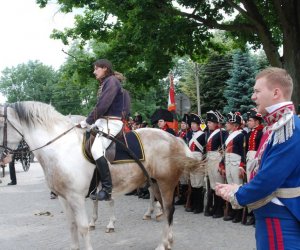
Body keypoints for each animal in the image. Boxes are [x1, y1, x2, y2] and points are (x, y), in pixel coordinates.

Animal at [0, 101, 204, 250]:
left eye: (1, 122)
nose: (3, 157)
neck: (61, 148)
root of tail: (175, 139)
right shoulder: (64, 198)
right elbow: (72, 226)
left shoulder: (76, 198)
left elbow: (83, 227)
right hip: (154, 182)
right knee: (165, 208)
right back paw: (167, 240)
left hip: (166, 183)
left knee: (169, 210)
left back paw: (163, 243)